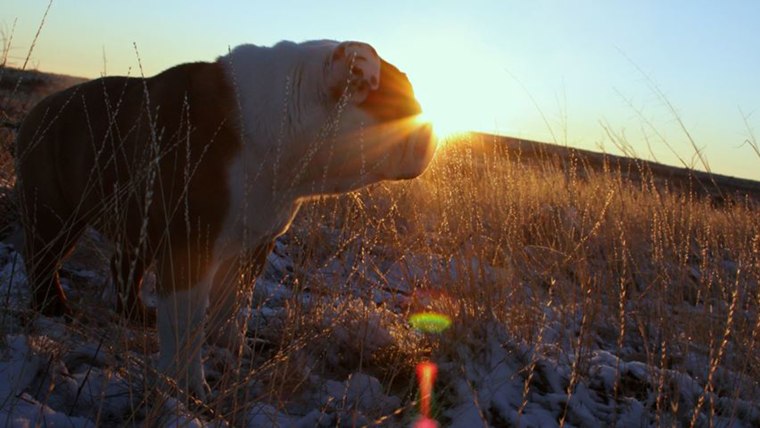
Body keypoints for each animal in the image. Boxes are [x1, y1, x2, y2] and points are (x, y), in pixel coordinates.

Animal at [14, 40, 436, 398]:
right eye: (403, 111)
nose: (432, 133)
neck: (290, 121)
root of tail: (40, 106)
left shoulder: (253, 243)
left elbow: (232, 304)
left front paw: (232, 347)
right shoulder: (191, 242)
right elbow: (186, 322)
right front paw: (186, 384)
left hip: (138, 229)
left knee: (124, 269)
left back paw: (136, 315)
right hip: (55, 214)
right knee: (43, 260)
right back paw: (54, 308)